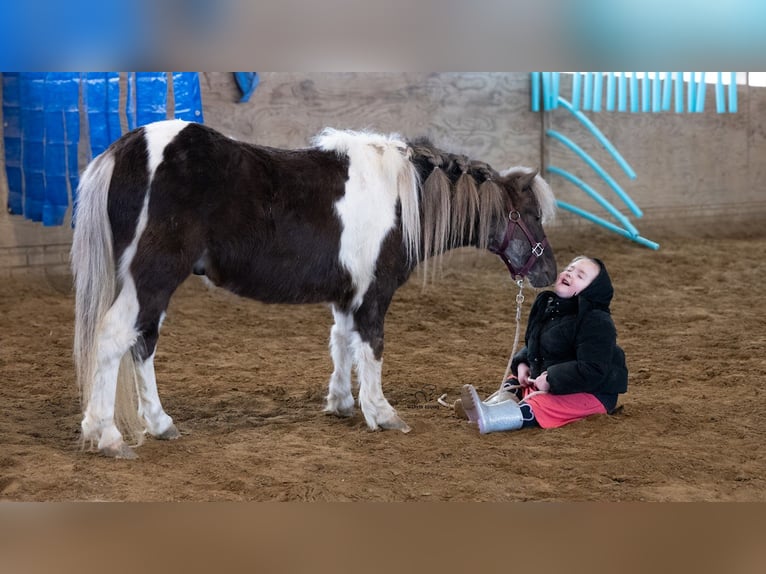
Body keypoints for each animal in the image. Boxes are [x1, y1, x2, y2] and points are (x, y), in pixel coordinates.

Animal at [71, 119, 557, 458]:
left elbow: (341, 342)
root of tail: (124, 149)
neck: (400, 198)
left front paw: (341, 402)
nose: (549, 273)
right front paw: (382, 413)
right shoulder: (373, 294)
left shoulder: (346, 294)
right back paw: (107, 435)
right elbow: (372, 348)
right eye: (530, 214)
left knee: (143, 342)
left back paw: (158, 424)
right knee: (115, 339)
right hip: (151, 275)